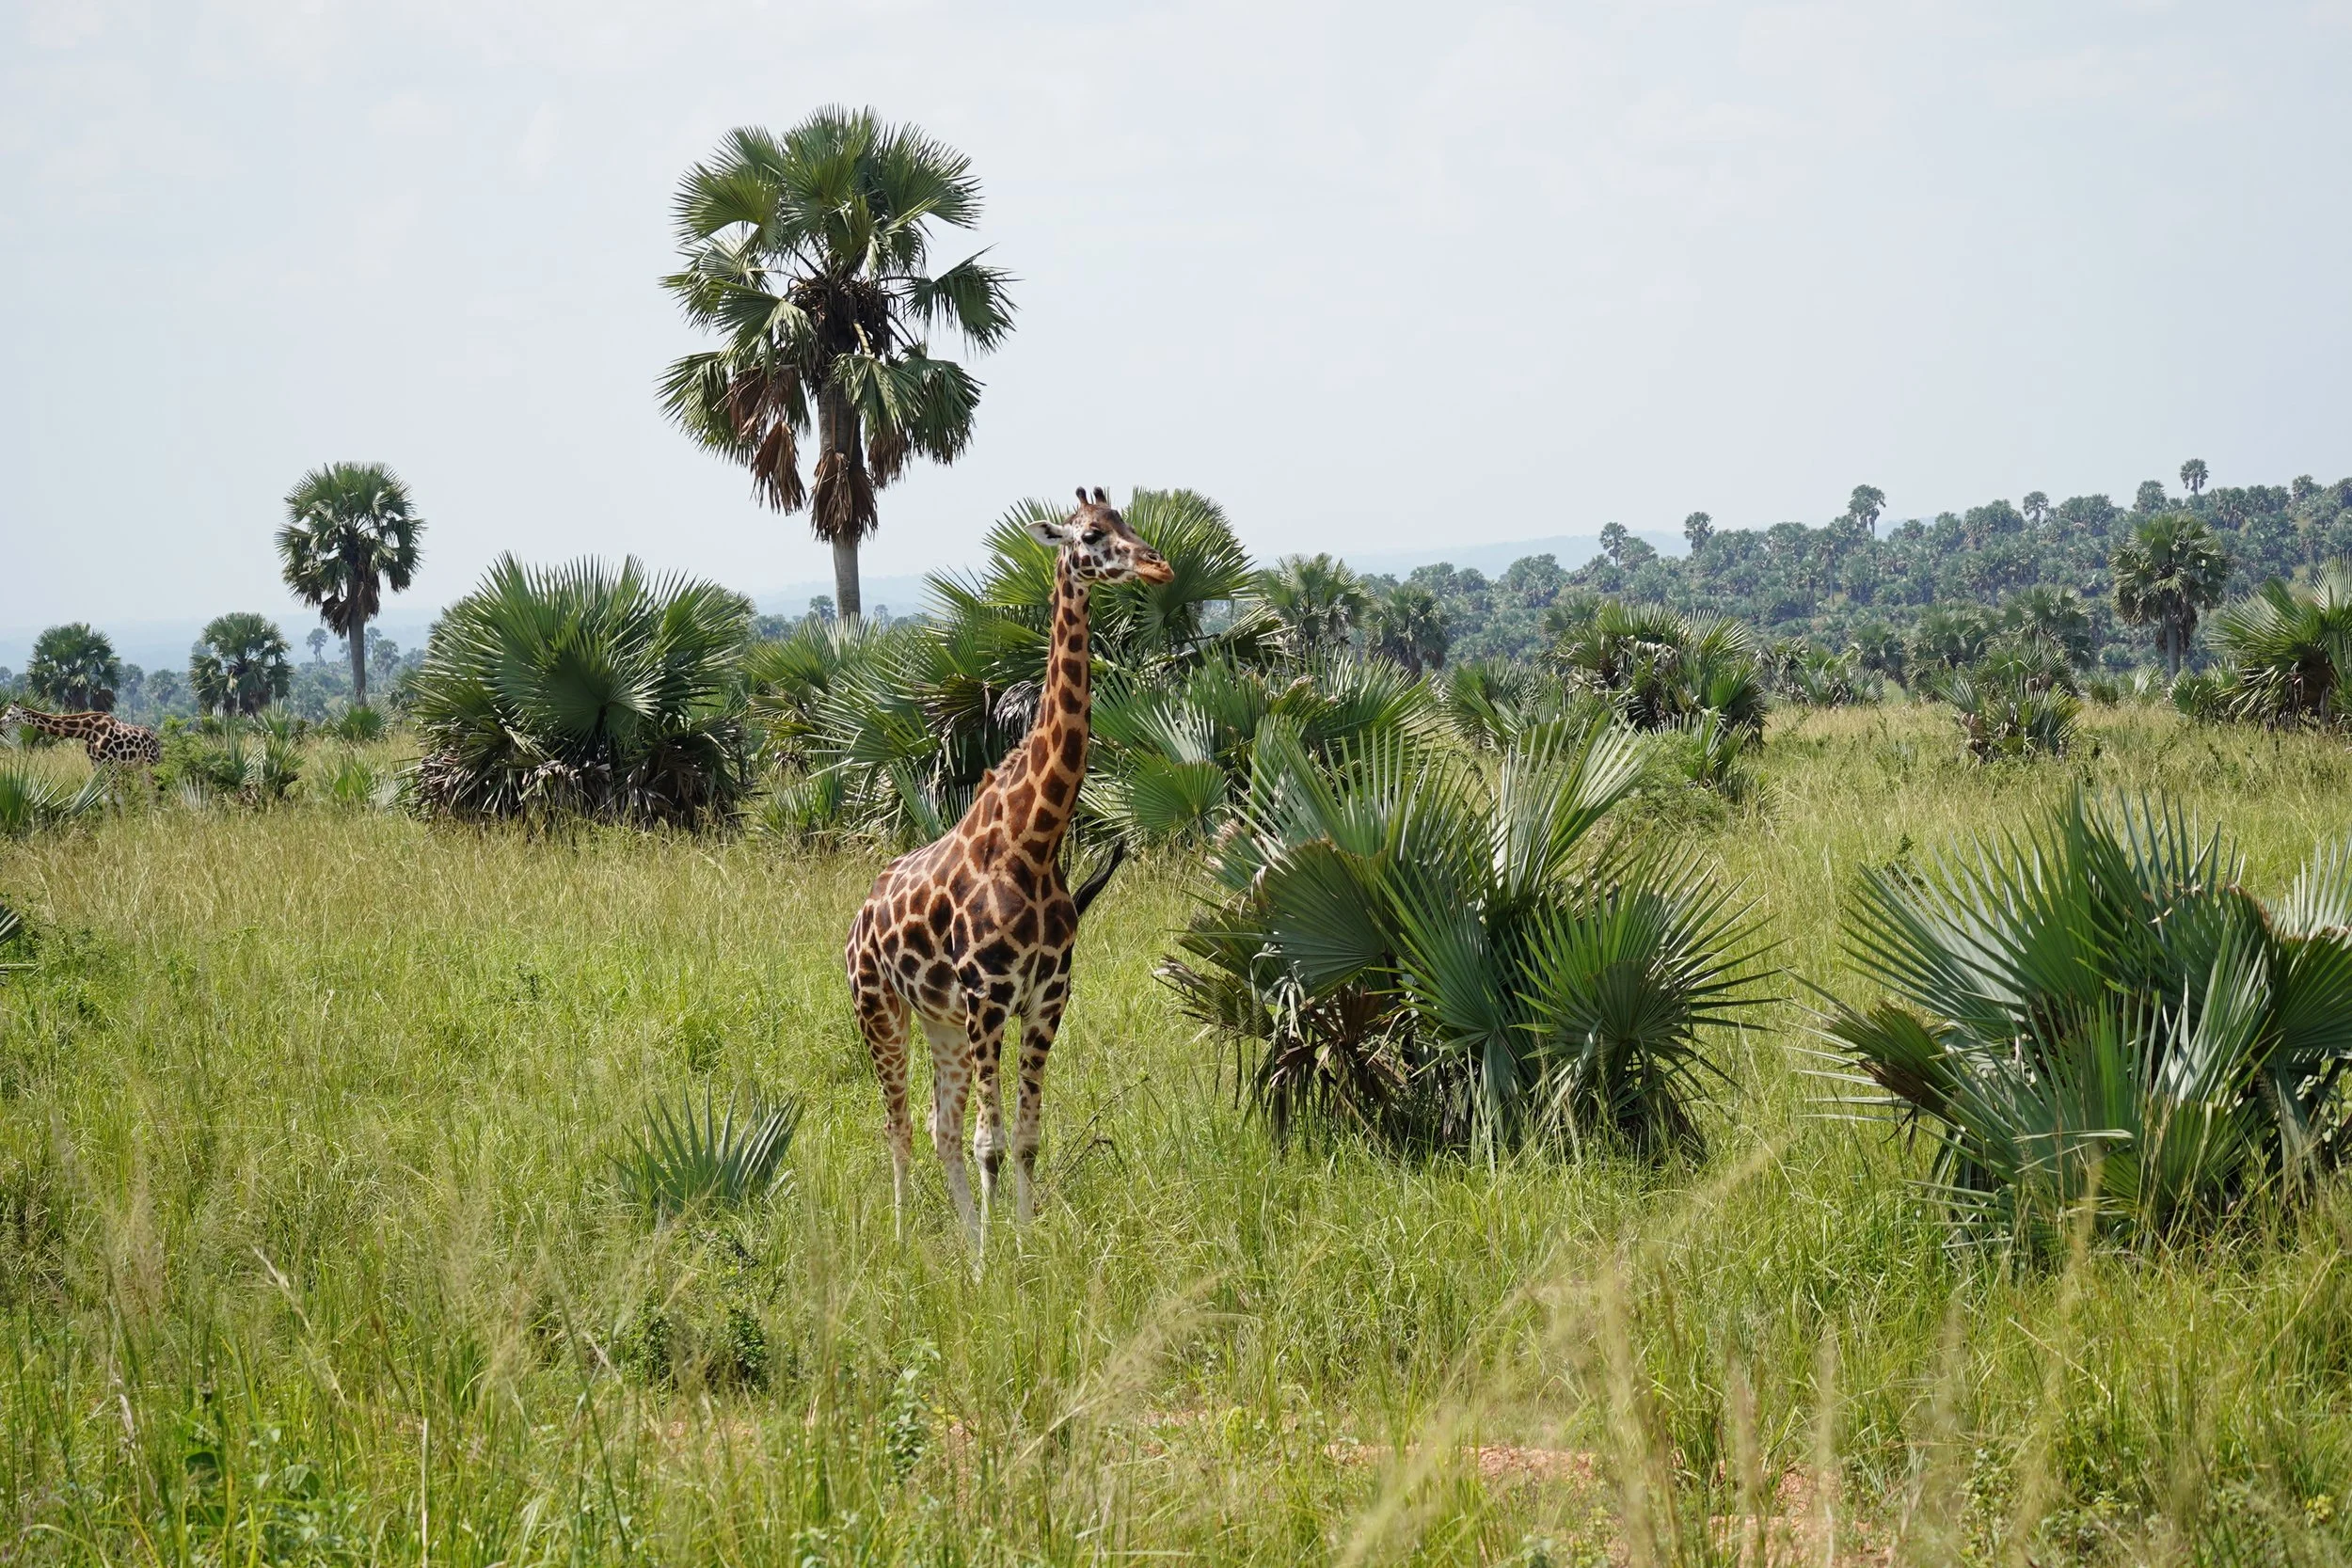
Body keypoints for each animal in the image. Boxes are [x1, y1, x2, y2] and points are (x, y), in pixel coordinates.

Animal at [1, 704, 162, 769]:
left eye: (9, 714)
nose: (0, 722)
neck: (89, 731)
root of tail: (155, 739)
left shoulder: (110, 762)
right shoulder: (95, 763)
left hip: (151, 761)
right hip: (138, 765)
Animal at [845, 486, 1171, 1245]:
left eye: (1129, 521)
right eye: (1091, 535)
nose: (1159, 565)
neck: (1036, 842)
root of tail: (860, 915)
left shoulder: (1046, 999)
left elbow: (1023, 1137)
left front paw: (1020, 1243)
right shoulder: (988, 997)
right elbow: (989, 1142)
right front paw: (996, 1260)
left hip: (939, 1021)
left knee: (937, 1124)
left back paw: (965, 1233)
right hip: (878, 1008)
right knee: (898, 1125)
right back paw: (903, 1238)